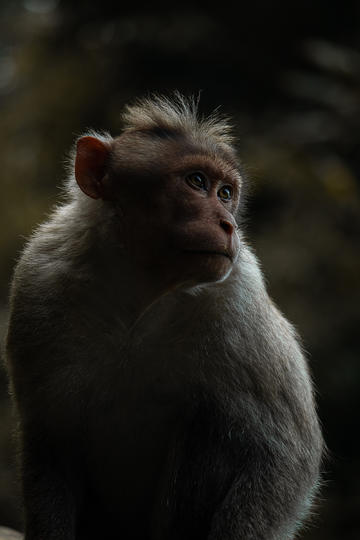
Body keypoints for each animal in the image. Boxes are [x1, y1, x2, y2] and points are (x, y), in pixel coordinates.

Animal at [4, 95, 322, 536]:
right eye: (196, 182)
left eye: (226, 192)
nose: (228, 225)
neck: (138, 290)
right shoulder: (38, 282)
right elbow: (49, 438)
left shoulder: (240, 297)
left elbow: (284, 456)